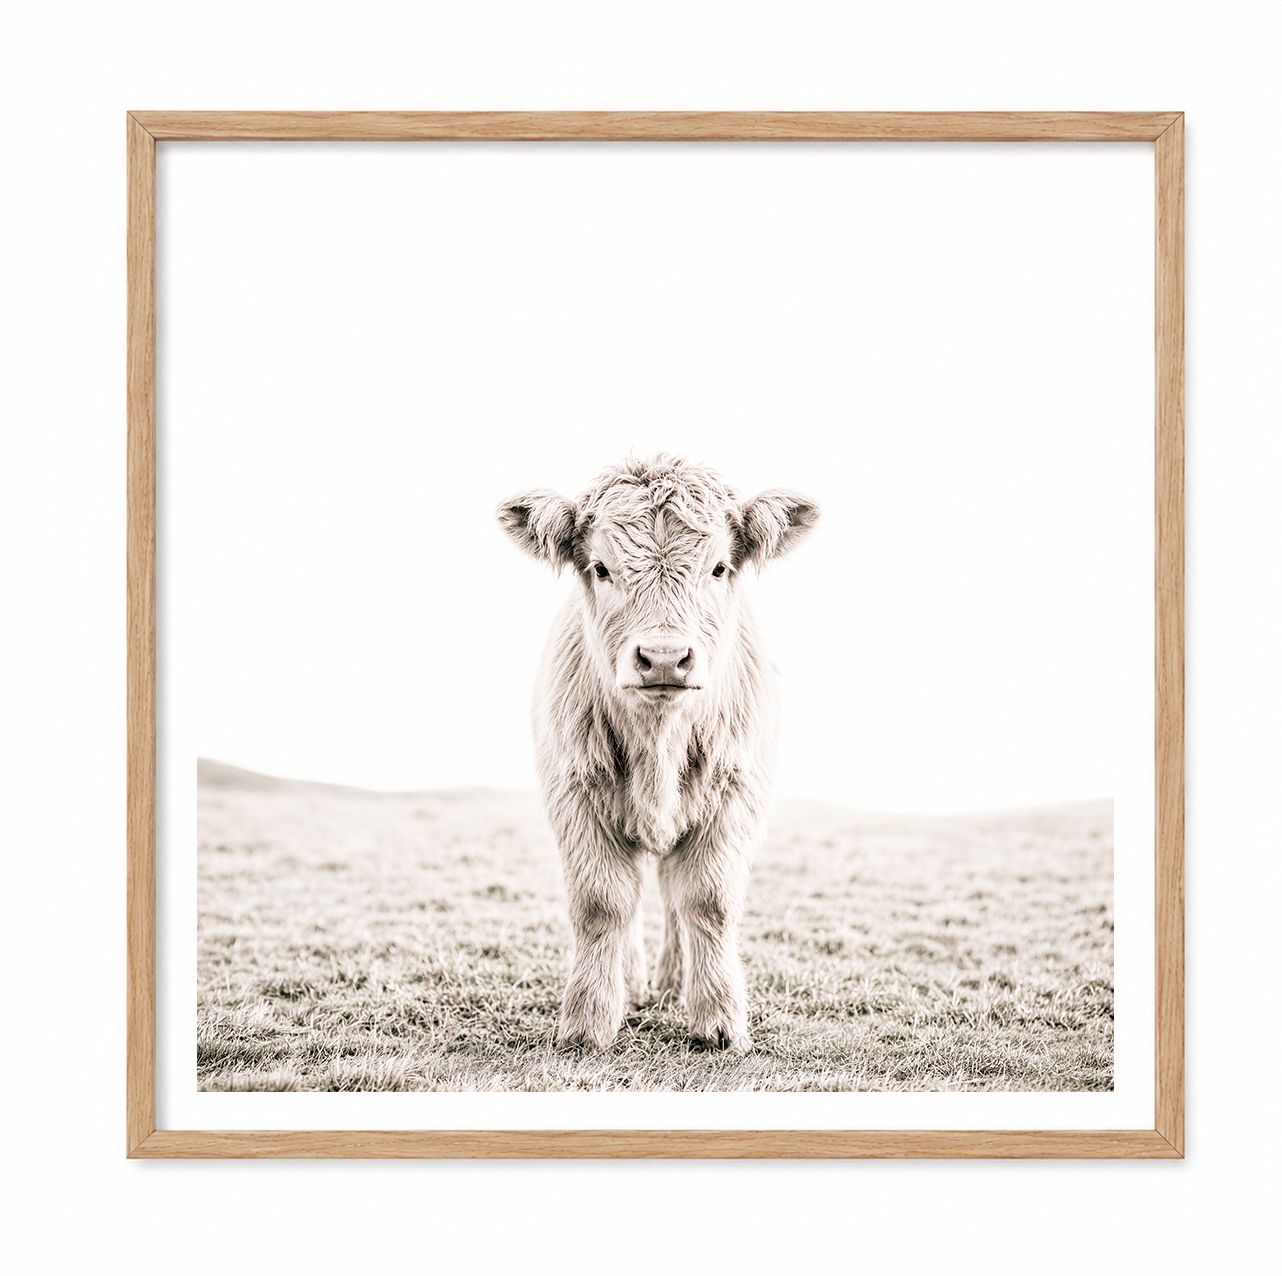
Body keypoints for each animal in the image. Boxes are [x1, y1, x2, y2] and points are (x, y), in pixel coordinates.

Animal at [498, 455, 818, 1052]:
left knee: (673, 895)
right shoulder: (575, 795)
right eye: (601, 568)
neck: (659, 746)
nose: (665, 658)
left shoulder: (734, 794)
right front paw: (589, 1021)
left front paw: (717, 1020)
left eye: (719, 568)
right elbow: (603, 904)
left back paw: (673, 982)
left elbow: (707, 901)